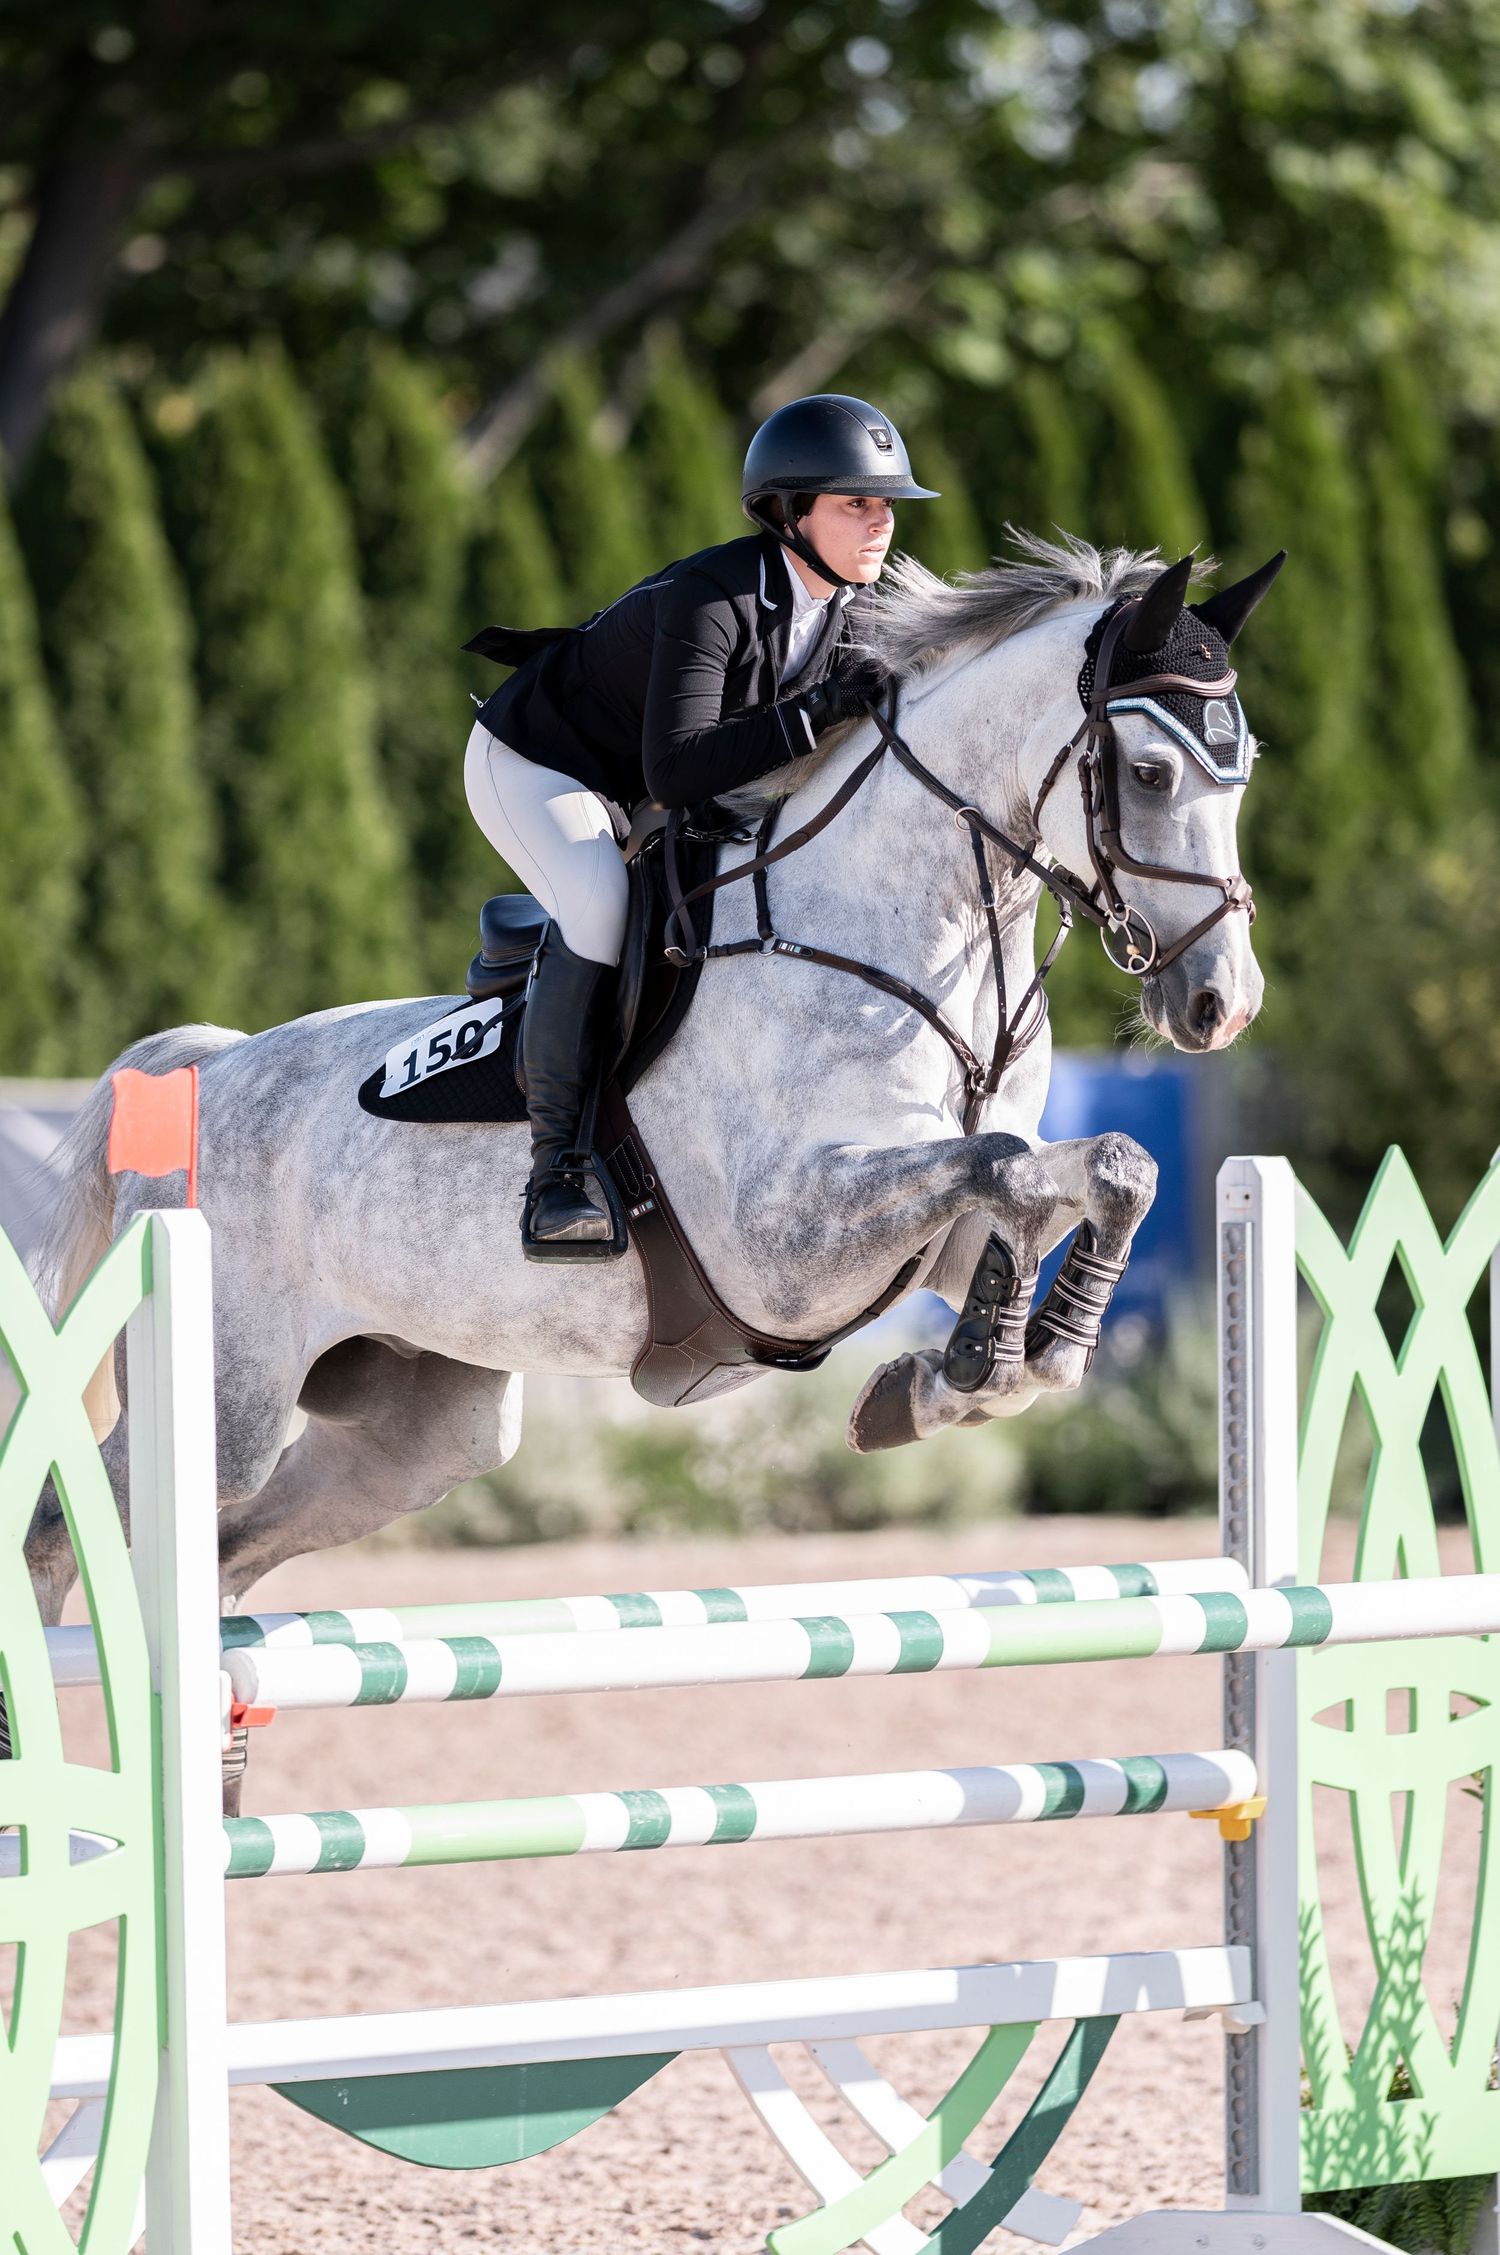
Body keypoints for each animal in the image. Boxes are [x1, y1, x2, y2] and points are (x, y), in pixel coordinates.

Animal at [25, 533, 1277, 1627]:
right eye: (1151, 769)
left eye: (1244, 770)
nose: (1222, 1002)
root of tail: (207, 1069)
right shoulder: (787, 1239)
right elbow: (1011, 1165)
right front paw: (965, 1367)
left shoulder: (927, 1231)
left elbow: (1097, 1168)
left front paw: (984, 1368)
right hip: (227, 1399)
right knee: (66, 1523)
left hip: (415, 1426)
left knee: (233, 1552)